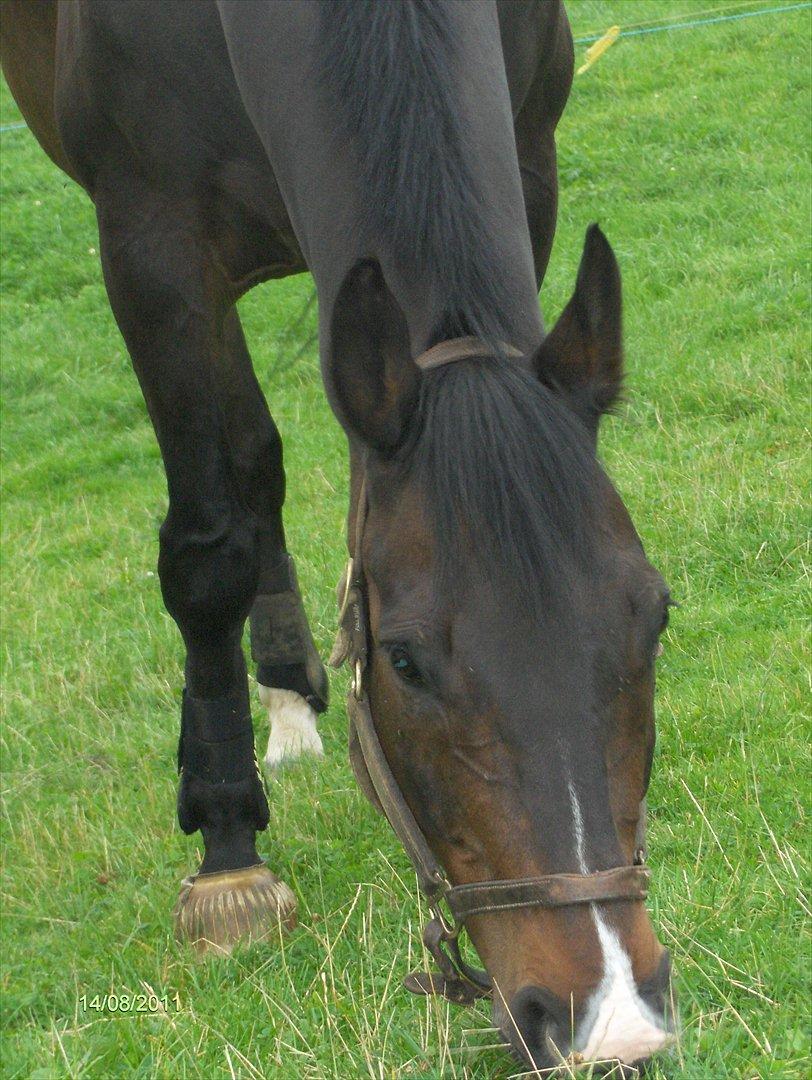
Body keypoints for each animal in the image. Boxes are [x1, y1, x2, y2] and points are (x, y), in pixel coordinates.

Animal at [3, 0, 678, 1067]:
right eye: (402, 662)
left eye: (654, 616)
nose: (609, 1019)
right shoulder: (154, 250)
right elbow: (211, 544)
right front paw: (228, 853)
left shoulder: (531, 157)